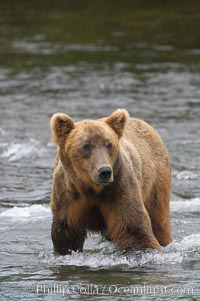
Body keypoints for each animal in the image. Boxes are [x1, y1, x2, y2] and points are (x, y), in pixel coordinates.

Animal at [50, 108, 172, 253]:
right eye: (86, 146)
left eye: (109, 144)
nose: (105, 172)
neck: (91, 188)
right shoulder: (68, 196)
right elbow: (66, 236)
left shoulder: (119, 189)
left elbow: (134, 229)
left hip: (156, 182)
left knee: (159, 221)